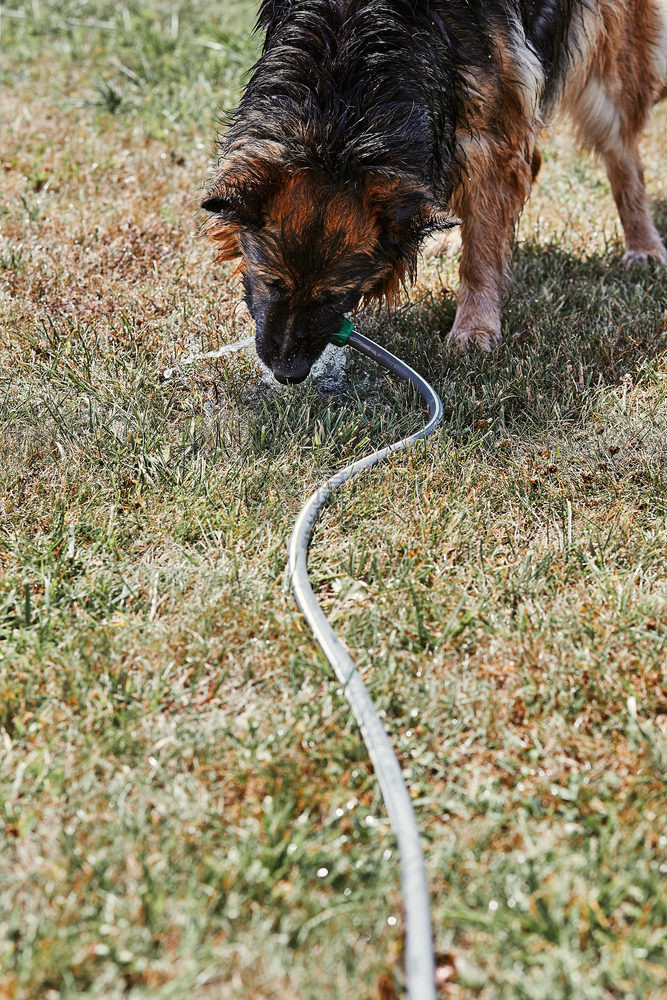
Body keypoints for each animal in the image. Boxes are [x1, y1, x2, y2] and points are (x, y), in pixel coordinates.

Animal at [200, 0, 667, 382]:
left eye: (337, 296)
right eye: (272, 283)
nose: (287, 373)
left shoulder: (489, 129)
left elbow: (481, 255)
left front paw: (475, 327)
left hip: (603, 63)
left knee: (622, 155)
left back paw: (643, 244)